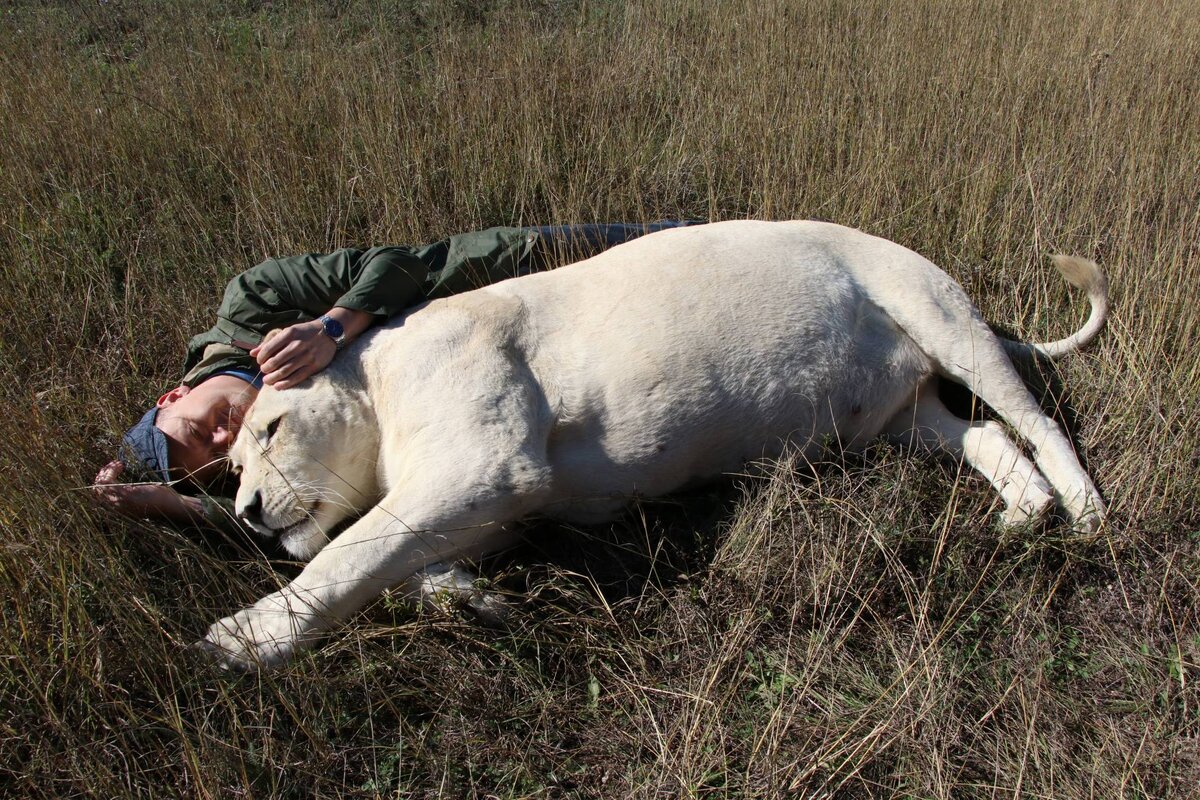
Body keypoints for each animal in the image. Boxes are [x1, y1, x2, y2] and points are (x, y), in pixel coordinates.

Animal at [196, 220, 1104, 671]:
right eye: (233, 464)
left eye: (271, 429)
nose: (246, 512)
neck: (375, 381)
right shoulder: (499, 505)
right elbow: (396, 559)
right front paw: (472, 599)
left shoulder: (486, 466)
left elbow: (345, 552)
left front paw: (247, 637)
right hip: (905, 417)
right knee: (989, 435)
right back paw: (1025, 513)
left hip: (942, 316)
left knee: (1039, 422)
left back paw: (1086, 512)